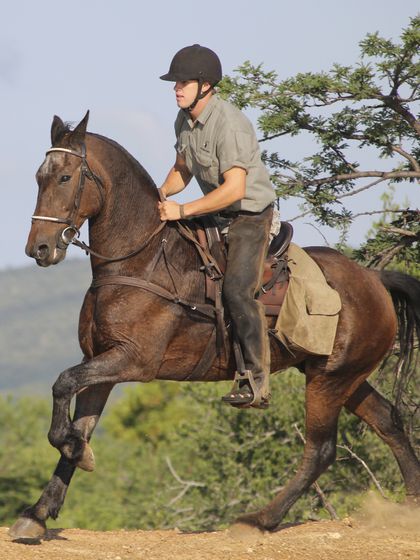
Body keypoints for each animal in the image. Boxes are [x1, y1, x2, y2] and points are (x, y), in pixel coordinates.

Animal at [10, 112, 420, 540]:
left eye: (65, 178)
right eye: (39, 177)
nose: (39, 249)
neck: (141, 261)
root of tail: (374, 279)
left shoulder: (134, 361)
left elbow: (62, 387)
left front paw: (75, 452)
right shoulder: (102, 364)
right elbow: (80, 421)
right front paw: (39, 510)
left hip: (329, 380)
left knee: (321, 450)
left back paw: (258, 519)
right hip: (342, 376)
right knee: (389, 420)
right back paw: (410, 506)